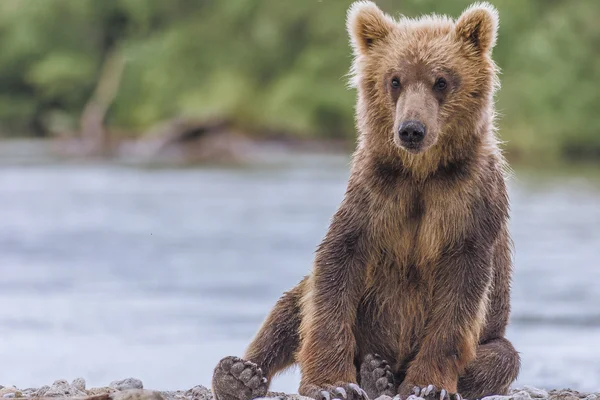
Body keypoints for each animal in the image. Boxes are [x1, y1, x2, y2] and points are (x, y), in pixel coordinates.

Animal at [213, 3, 516, 400]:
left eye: (441, 81)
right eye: (395, 80)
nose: (411, 130)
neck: (421, 173)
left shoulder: (469, 204)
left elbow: (461, 295)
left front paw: (428, 385)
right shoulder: (375, 196)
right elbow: (334, 272)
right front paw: (332, 383)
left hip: (493, 336)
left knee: (502, 358)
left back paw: (382, 375)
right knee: (290, 308)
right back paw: (242, 374)